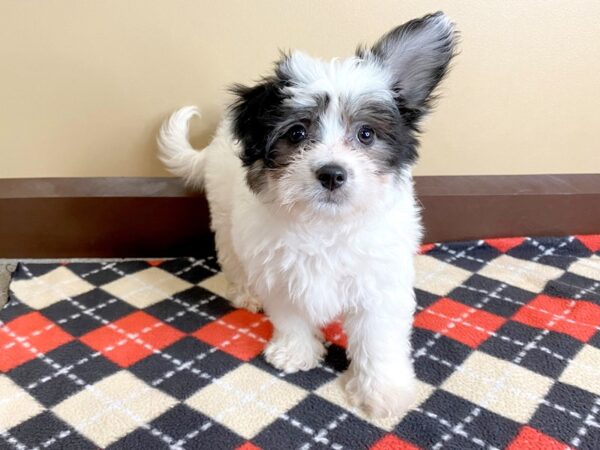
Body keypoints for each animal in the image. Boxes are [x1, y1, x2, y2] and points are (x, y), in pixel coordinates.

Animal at [157, 11, 458, 418]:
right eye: (297, 133)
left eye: (365, 134)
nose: (332, 173)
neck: (324, 224)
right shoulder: (278, 271)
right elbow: (290, 314)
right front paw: (295, 352)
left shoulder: (378, 282)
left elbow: (378, 337)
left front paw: (382, 390)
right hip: (224, 216)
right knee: (232, 256)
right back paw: (245, 293)